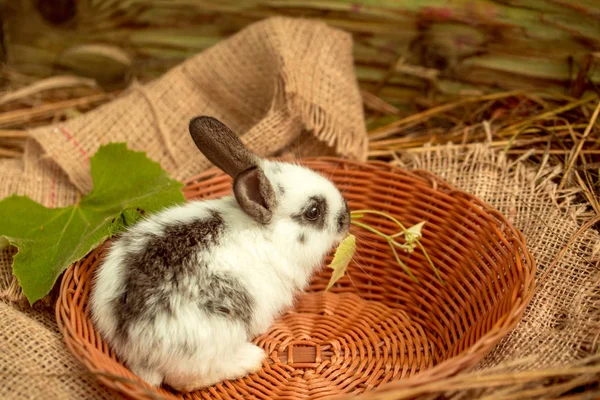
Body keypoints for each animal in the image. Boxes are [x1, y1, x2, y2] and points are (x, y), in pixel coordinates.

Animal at [89, 115, 352, 390]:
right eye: (313, 211)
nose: (347, 217)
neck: (265, 232)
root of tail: (132, 345)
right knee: (188, 380)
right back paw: (250, 359)